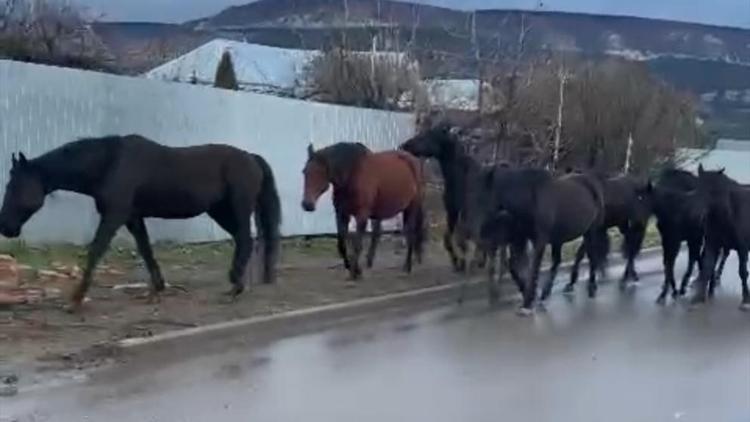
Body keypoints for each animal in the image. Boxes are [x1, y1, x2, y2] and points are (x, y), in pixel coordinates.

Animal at [0, 135, 280, 314]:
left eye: (14, 186)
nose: (5, 227)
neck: (110, 164)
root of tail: (252, 158)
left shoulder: (114, 216)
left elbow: (95, 251)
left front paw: (75, 300)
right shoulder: (133, 218)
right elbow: (145, 249)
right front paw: (156, 289)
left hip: (237, 208)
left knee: (245, 239)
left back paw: (235, 286)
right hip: (219, 211)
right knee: (244, 239)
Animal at [302, 143, 426, 280]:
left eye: (321, 172)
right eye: (305, 172)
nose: (307, 205)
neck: (352, 175)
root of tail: (414, 160)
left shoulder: (362, 216)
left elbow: (357, 245)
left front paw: (355, 273)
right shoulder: (342, 214)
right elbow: (341, 245)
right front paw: (352, 268)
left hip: (412, 207)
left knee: (410, 234)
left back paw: (407, 267)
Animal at [482, 166, 612, 314]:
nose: (483, 233)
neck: (532, 199)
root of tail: (592, 181)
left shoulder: (539, 240)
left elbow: (533, 268)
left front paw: (527, 304)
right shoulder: (523, 238)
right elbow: (518, 266)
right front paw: (530, 297)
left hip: (591, 231)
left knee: (591, 255)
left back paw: (590, 287)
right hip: (563, 237)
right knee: (560, 260)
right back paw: (548, 292)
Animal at [692, 166, 750, 310]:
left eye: (712, 190)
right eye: (697, 187)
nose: (697, 214)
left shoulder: (742, 248)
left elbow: (743, 272)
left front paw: (746, 300)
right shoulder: (712, 244)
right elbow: (707, 268)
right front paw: (698, 299)